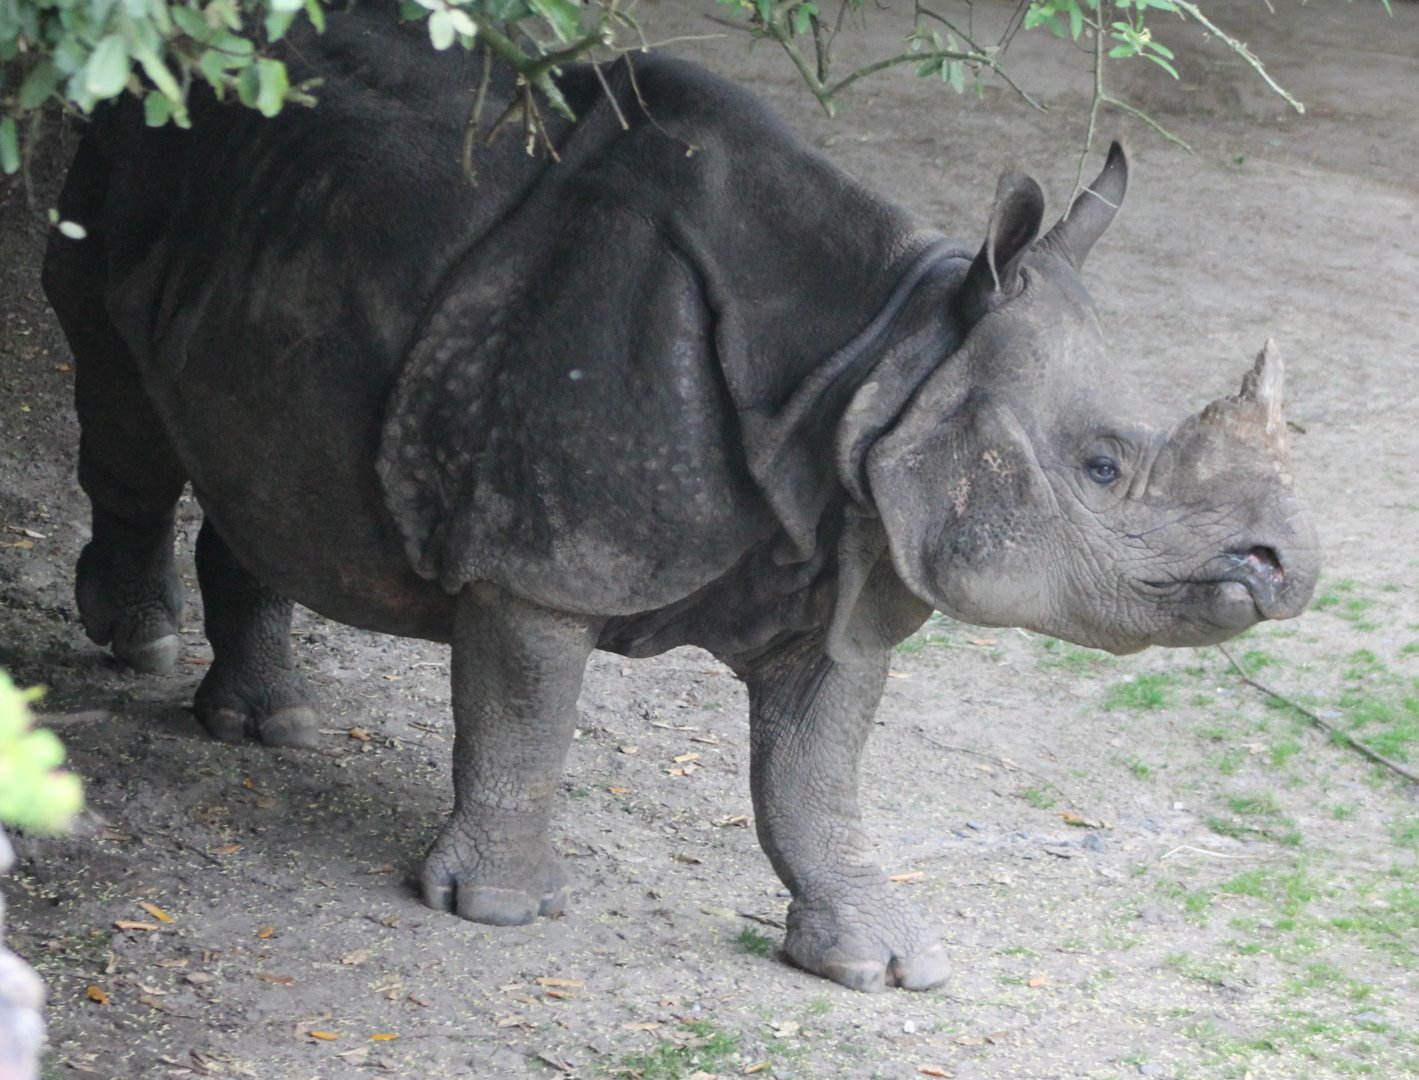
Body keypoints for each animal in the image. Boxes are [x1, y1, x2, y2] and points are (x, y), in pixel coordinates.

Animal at [42, 7, 1318, 992]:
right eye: (1103, 466)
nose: (1288, 567)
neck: (878, 363)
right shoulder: (541, 555)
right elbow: (523, 714)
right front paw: (498, 911)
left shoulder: (846, 555)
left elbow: (816, 773)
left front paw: (877, 966)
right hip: (130, 153)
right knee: (122, 399)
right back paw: (139, 640)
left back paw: (268, 722)